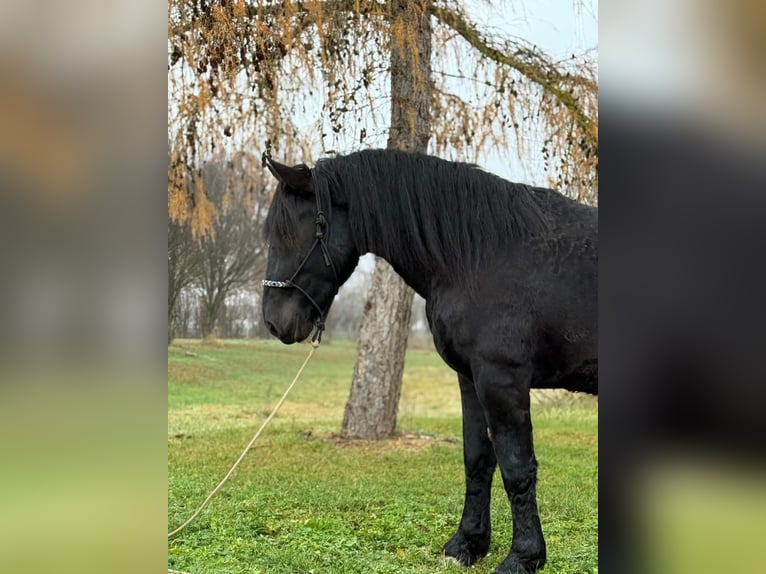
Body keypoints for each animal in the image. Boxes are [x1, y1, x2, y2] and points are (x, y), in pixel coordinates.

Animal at [260, 148, 597, 574]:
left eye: (291, 233)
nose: (274, 321)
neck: (484, 255)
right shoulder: (471, 379)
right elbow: (478, 459)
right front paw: (466, 544)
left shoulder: (501, 380)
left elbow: (517, 467)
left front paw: (523, 557)